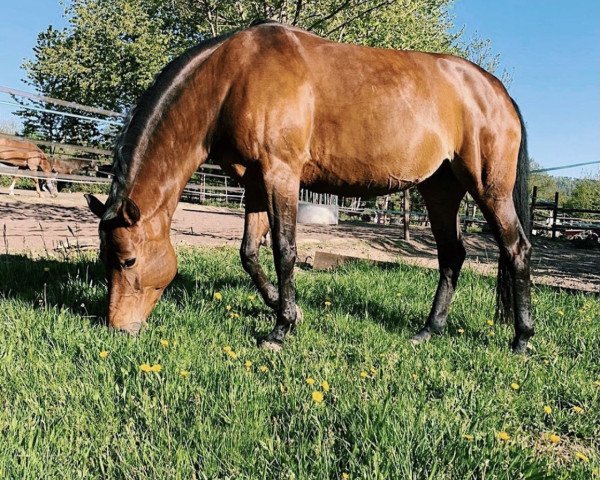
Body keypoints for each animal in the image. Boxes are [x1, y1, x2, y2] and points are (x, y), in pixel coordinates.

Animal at [85, 20, 536, 352]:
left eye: (127, 260)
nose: (118, 328)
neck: (234, 75)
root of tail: (496, 91)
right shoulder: (255, 183)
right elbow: (249, 253)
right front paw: (285, 309)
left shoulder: (281, 175)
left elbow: (285, 251)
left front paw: (280, 329)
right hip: (440, 189)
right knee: (451, 255)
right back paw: (429, 329)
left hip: (488, 187)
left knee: (516, 248)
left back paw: (522, 338)